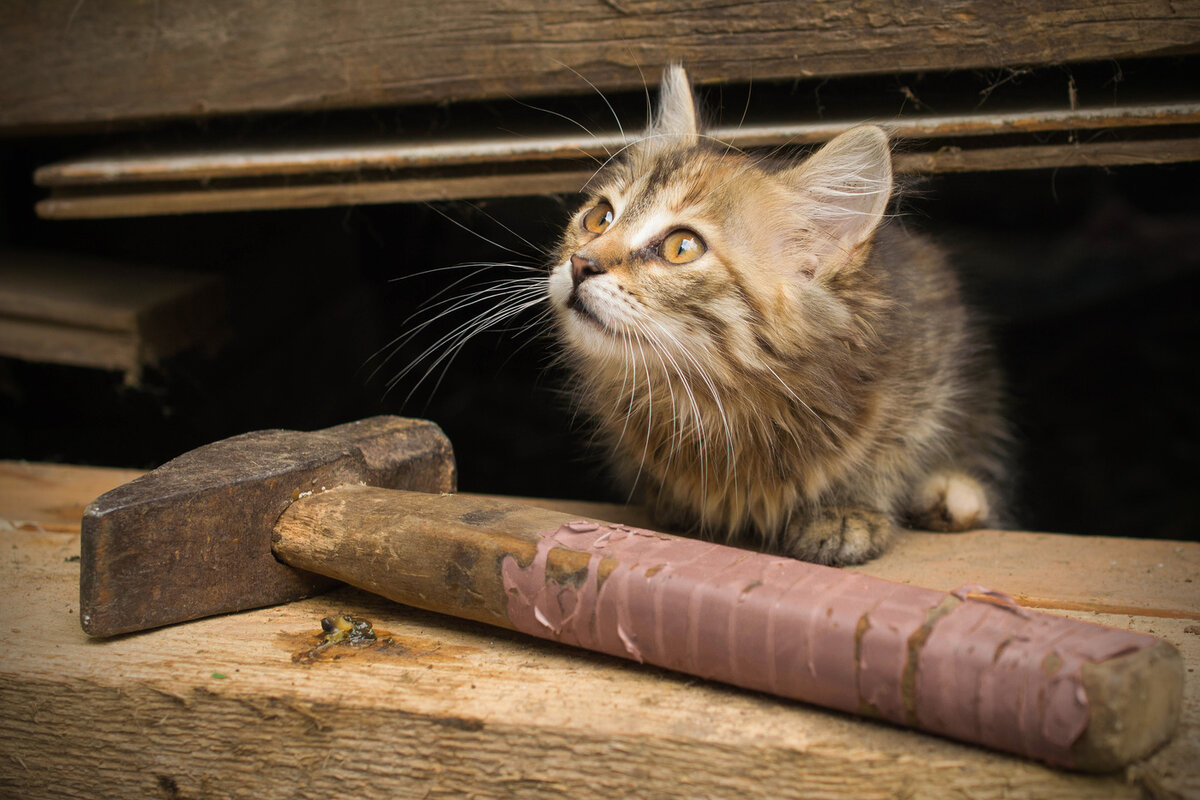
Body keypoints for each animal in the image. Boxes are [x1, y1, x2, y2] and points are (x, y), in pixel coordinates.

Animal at [549, 65, 1008, 566]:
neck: (717, 401)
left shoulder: (932, 357)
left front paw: (849, 510)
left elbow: (897, 447)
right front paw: (675, 499)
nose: (580, 264)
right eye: (599, 218)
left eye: (681, 247)